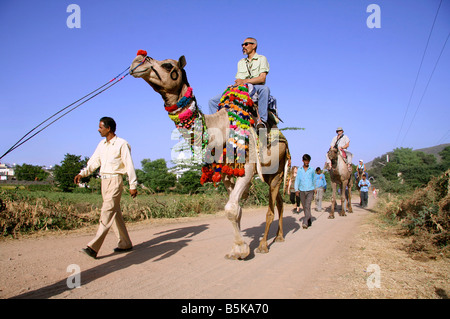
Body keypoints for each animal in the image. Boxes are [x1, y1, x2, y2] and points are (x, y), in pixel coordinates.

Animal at [130, 50, 292, 260]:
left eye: (167, 65)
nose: (137, 60)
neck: (221, 127)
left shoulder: (247, 168)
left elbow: (231, 208)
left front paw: (241, 250)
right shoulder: (225, 173)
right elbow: (236, 209)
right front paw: (236, 249)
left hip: (277, 169)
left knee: (271, 208)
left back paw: (264, 245)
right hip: (270, 175)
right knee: (279, 202)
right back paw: (279, 237)